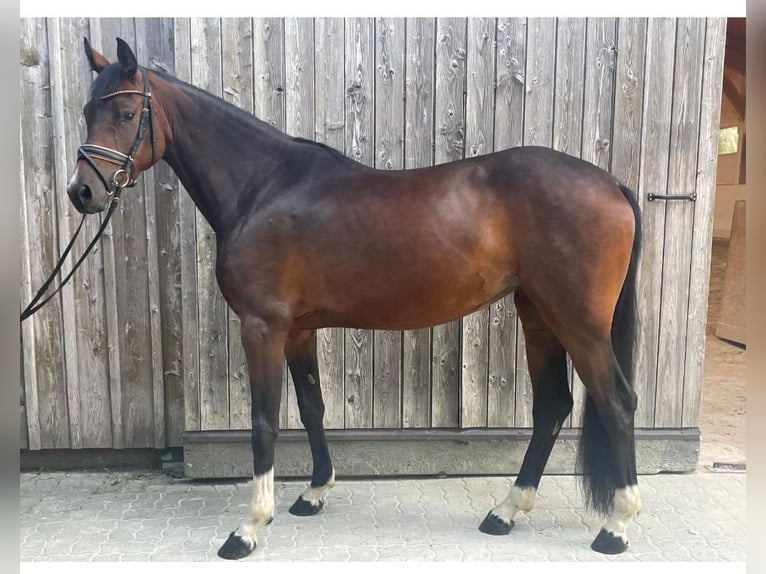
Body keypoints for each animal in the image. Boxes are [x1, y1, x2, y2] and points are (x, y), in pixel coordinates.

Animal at [66, 37, 642, 560]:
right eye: (87, 111)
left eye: (125, 112)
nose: (82, 192)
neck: (263, 187)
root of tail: (610, 183)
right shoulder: (297, 328)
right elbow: (312, 407)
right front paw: (314, 493)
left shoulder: (262, 326)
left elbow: (264, 419)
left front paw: (249, 528)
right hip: (538, 313)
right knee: (552, 405)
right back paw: (506, 511)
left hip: (578, 321)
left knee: (617, 401)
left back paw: (616, 527)